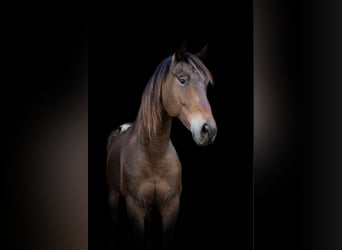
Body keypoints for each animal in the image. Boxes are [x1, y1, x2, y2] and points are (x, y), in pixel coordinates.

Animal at [105, 42, 216, 249]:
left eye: (205, 84)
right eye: (182, 79)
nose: (209, 130)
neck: (154, 154)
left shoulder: (171, 206)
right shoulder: (135, 207)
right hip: (113, 195)